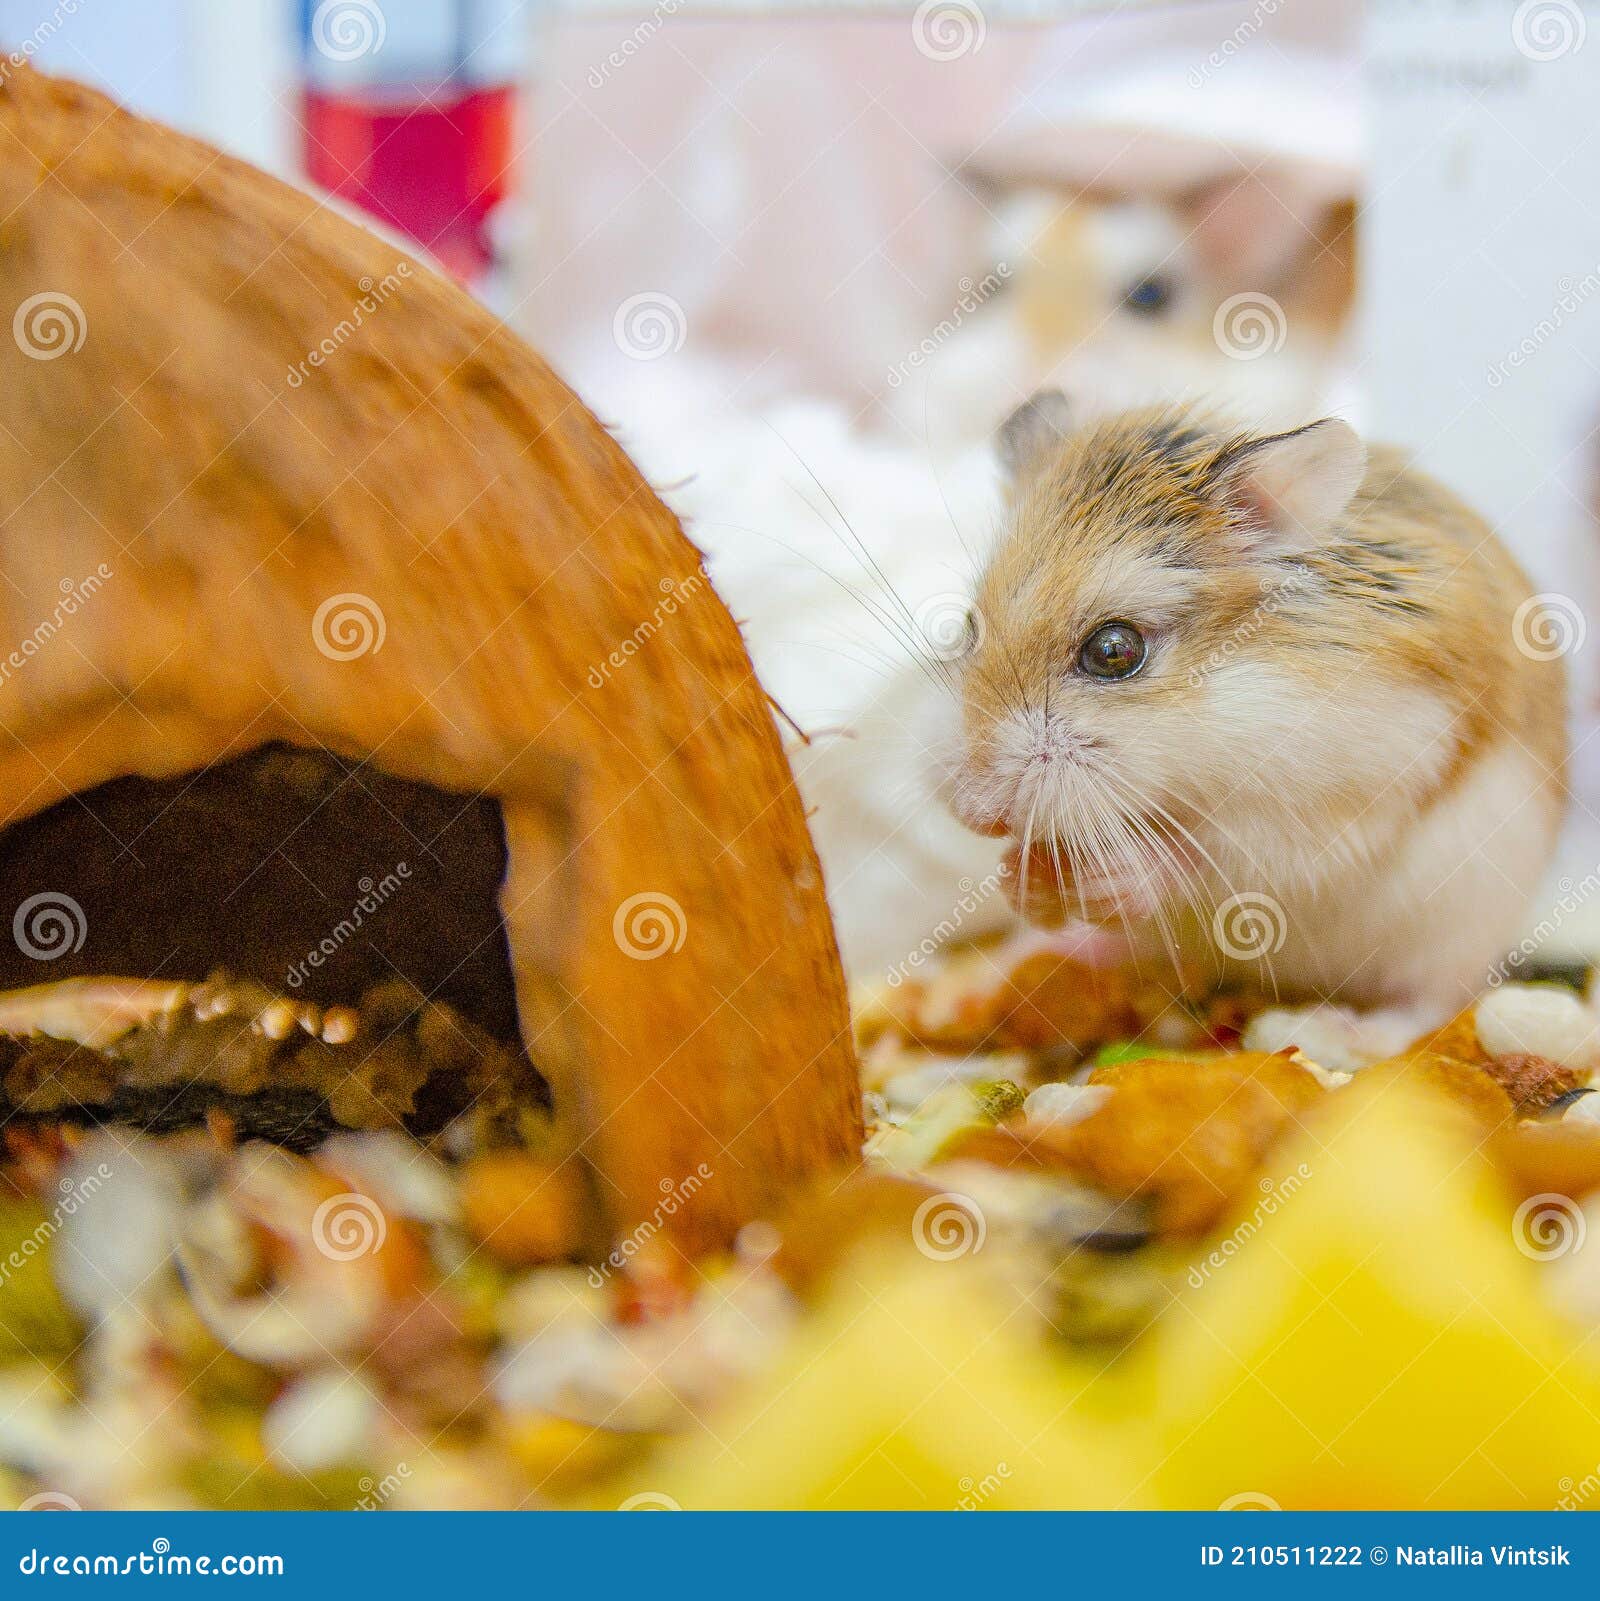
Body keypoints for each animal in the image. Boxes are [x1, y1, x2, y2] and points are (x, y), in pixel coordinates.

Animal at [946, 392, 1568, 1010]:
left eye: (1114, 650)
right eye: (967, 625)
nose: (975, 814)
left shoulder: (1347, 792)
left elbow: (1208, 860)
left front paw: (1102, 877)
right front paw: (1018, 882)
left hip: (1459, 931)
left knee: (1435, 1002)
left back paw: (1352, 1027)